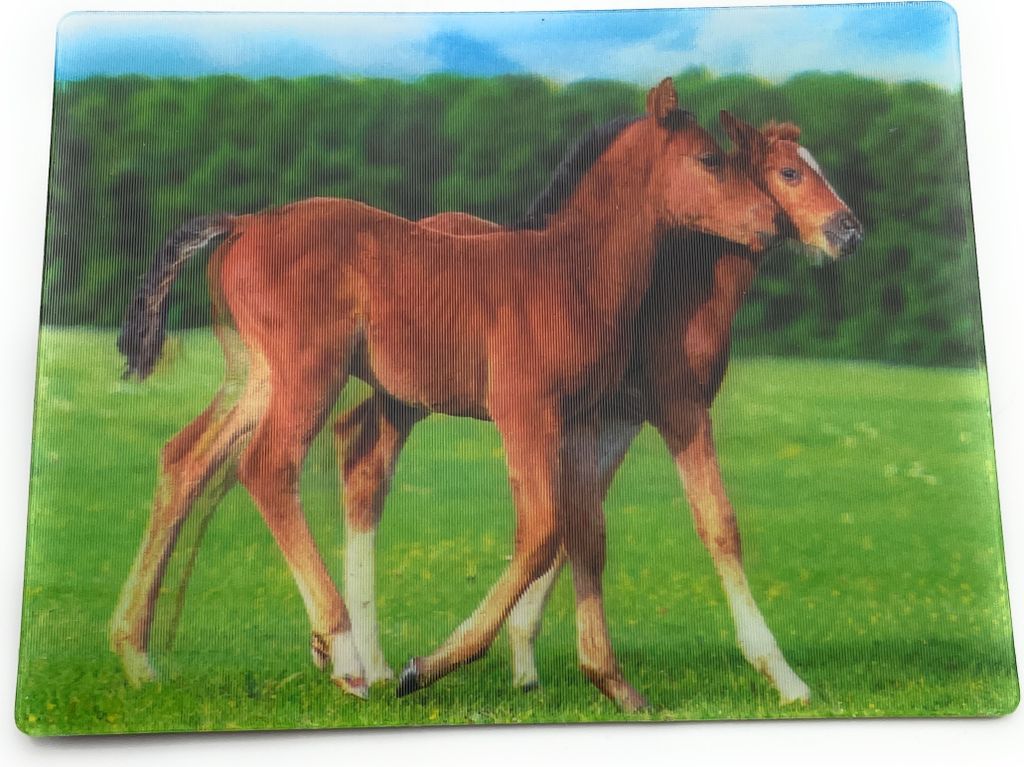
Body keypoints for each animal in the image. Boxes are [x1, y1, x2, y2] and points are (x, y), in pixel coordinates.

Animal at [110, 78, 781, 712]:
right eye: (710, 159)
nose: (772, 222)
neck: (570, 275)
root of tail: (247, 223)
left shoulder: (580, 423)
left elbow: (583, 530)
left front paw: (610, 683)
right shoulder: (525, 412)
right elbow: (542, 532)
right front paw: (425, 668)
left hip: (259, 378)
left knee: (185, 460)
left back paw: (137, 657)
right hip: (310, 374)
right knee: (266, 467)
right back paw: (347, 658)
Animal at [332, 112, 863, 706]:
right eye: (790, 172)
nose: (849, 232)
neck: (672, 296)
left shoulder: (614, 420)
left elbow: (576, 525)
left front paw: (527, 662)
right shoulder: (675, 410)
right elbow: (715, 524)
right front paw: (784, 675)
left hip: (404, 397)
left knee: (360, 450)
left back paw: (363, 662)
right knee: (365, 461)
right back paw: (372, 664)